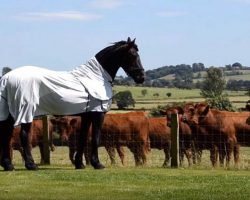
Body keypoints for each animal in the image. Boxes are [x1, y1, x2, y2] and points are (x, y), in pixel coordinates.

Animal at [0, 37, 145, 170]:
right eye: (132, 55)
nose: (141, 78)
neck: (96, 76)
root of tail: (6, 78)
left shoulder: (86, 115)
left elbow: (83, 137)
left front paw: (80, 164)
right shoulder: (98, 114)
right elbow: (95, 138)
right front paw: (97, 164)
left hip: (9, 113)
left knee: (6, 135)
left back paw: (8, 165)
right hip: (25, 111)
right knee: (24, 135)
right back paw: (31, 165)